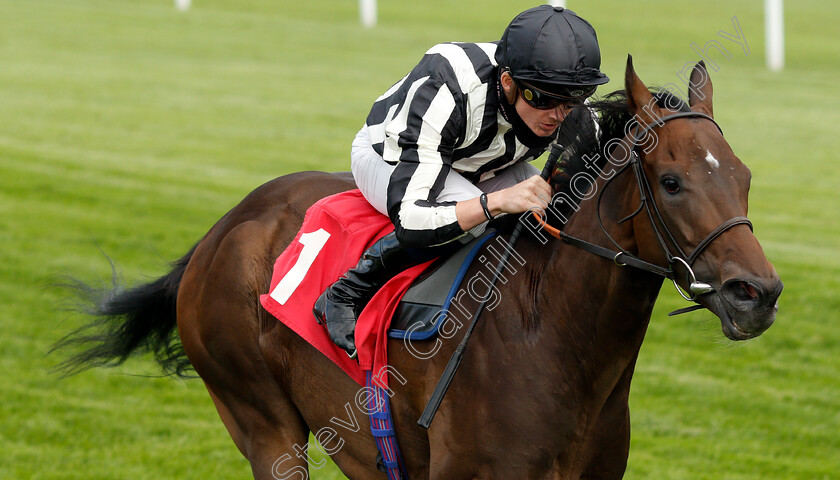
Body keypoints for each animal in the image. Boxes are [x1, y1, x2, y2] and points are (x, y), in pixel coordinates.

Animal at [57, 57, 780, 480]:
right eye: (672, 181)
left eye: (745, 177)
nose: (758, 294)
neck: (552, 338)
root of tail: (223, 228)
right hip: (263, 423)